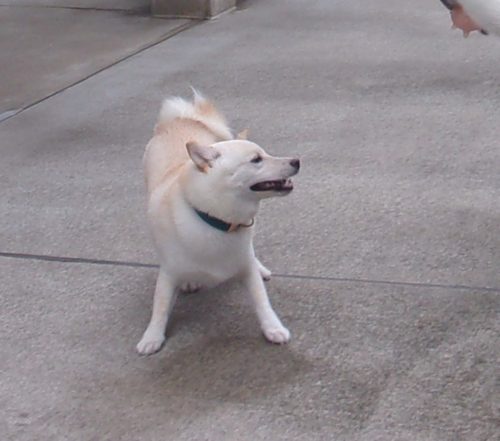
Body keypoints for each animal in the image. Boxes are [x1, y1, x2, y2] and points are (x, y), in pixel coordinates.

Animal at [137, 91, 300, 355]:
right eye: (256, 160)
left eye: (265, 154)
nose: (297, 161)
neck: (217, 221)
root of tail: (181, 119)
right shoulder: (169, 272)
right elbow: (159, 306)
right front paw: (152, 336)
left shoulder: (244, 263)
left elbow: (261, 299)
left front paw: (272, 327)